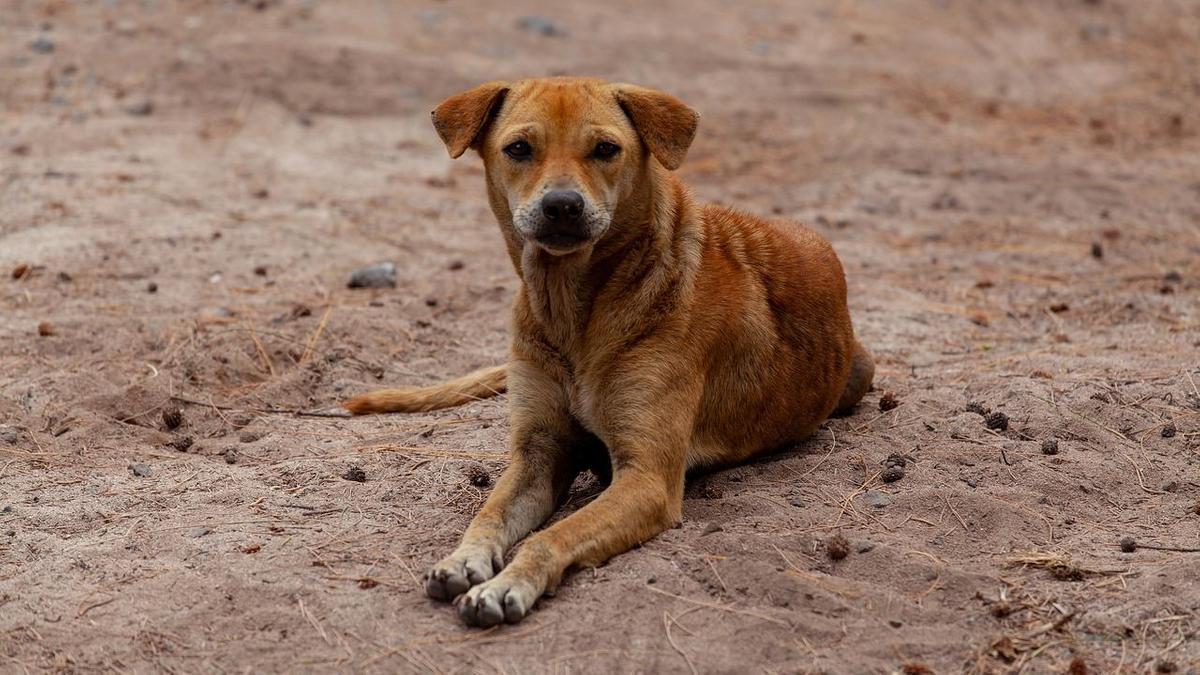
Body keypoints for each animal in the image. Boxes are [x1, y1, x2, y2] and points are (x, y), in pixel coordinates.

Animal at [345, 77, 873, 624]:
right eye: (519, 148)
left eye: (605, 149)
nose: (562, 205)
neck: (573, 310)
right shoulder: (538, 453)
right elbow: (488, 513)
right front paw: (463, 559)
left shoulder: (647, 479)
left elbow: (551, 536)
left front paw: (507, 584)